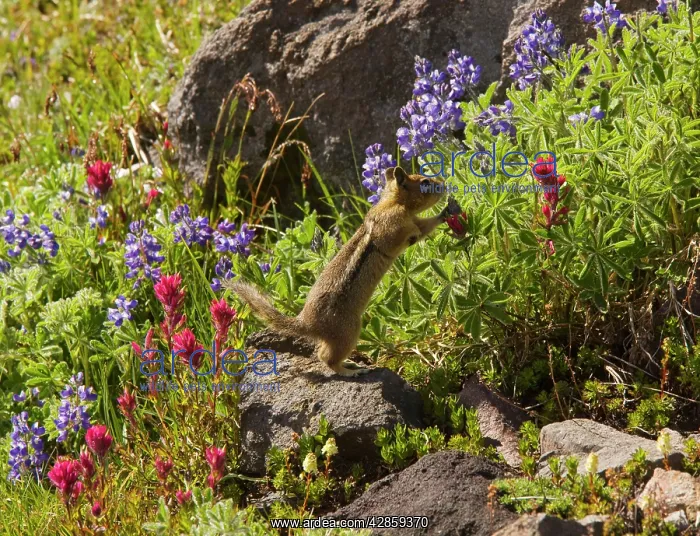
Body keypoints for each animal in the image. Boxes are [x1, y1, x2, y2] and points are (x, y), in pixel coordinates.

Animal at [226, 166, 461, 376]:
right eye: (425, 182)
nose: (443, 184)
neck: (393, 203)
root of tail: (306, 322)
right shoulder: (396, 226)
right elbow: (412, 232)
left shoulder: (413, 221)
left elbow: (424, 226)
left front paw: (447, 211)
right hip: (349, 331)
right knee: (325, 358)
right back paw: (350, 371)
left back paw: (350, 364)